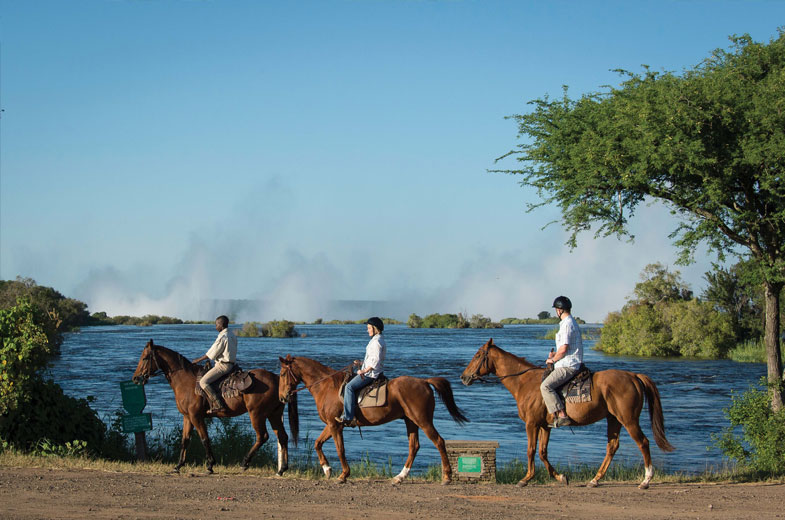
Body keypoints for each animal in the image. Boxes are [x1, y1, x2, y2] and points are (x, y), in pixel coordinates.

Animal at [132, 339, 297, 475]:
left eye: (145, 358)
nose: (135, 378)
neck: (186, 381)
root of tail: (276, 378)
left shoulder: (196, 416)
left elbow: (204, 439)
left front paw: (210, 465)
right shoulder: (187, 417)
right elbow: (185, 440)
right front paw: (178, 466)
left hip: (257, 414)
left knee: (262, 436)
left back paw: (245, 463)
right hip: (273, 414)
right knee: (282, 436)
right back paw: (282, 469)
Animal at [278, 354, 469, 484]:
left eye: (282, 374)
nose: (282, 397)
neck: (326, 386)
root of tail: (424, 382)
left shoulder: (335, 426)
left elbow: (340, 450)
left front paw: (343, 475)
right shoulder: (332, 424)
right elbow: (318, 444)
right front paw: (327, 469)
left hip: (422, 420)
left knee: (439, 441)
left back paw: (446, 476)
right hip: (411, 421)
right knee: (414, 446)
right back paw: (400, 477)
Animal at [460, 339, 674, 489]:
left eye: (478, 355)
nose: (464, 377)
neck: (525, 383)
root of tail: (634, 376)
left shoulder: (531, 424)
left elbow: (530, 450)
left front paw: (525, 479)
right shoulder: (545, 426)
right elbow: (542, 452)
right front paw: (561, 477)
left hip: (628, 420)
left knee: (643, 443)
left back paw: (645, 481)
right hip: (613, 419)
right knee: (612, 446)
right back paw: (595, 480)